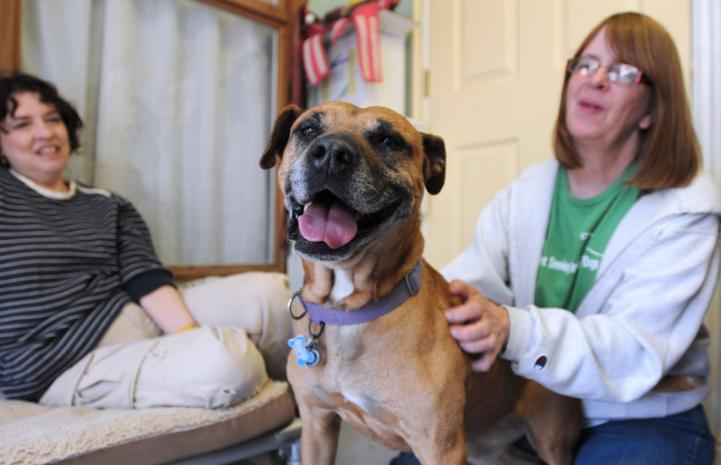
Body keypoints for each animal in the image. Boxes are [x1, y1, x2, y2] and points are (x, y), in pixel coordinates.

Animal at [258, 102, 580, 464]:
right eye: (308, 130)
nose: (330, 153)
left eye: (389, 140)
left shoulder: (440, 446)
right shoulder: (316, 424)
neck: (349, 308)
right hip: (487, 449)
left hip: (551, 439)